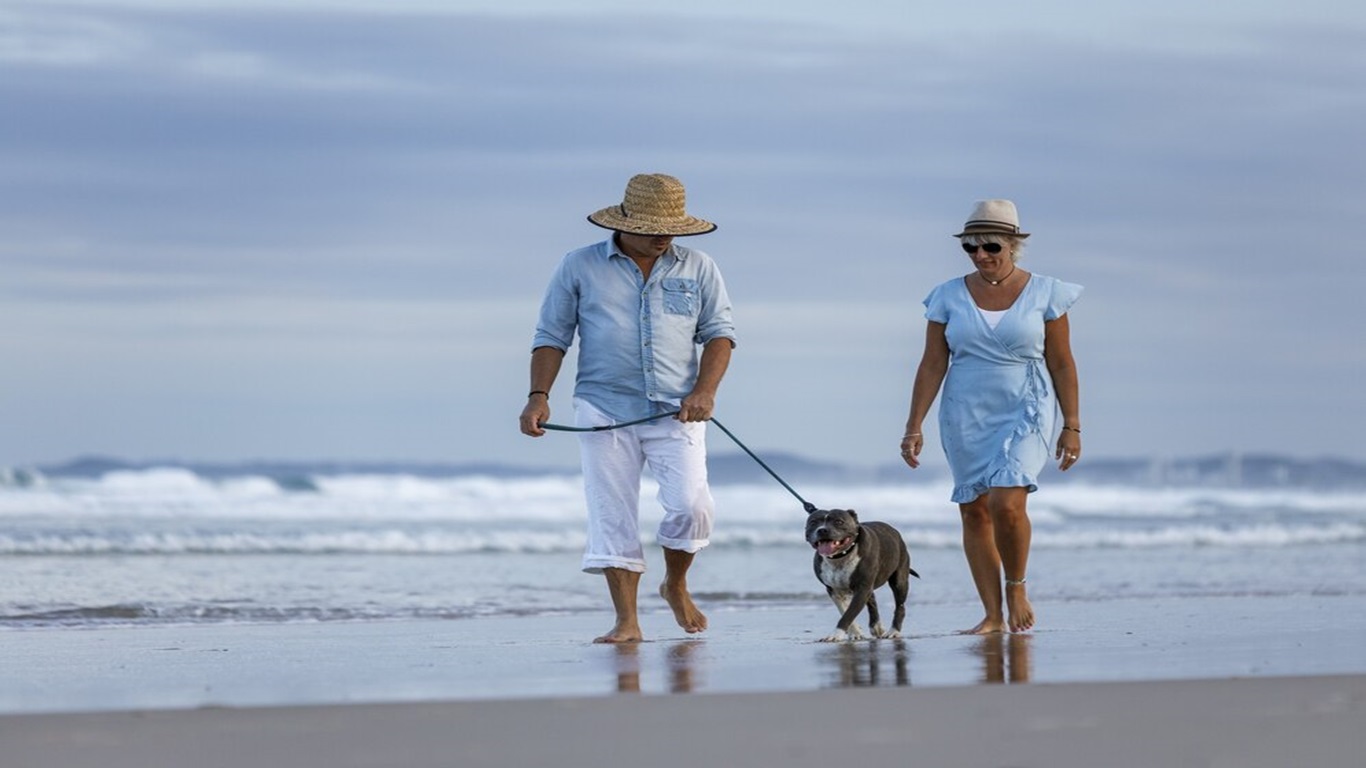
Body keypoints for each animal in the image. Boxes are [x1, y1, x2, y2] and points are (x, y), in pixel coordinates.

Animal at [808, 508, 917, 639]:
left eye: (839, 522)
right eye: (813, 522)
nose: (822, 530)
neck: (840, 557)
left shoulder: (862, 589)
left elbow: (849, 614)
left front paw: (836, 634)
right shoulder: (833, 590)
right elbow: (844, 610)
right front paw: (855, 632)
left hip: (899, 581)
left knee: (900, 606)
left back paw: (894, 631)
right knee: (872, 599)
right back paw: (876, 626)